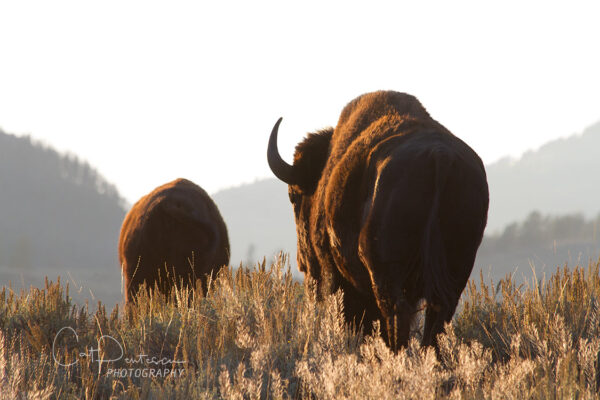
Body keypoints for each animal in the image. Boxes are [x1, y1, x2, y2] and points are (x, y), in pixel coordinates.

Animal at [268, 91, 488, 350]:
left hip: (386, 274)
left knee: (395, 313)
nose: (301, 262)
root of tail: (439, 156)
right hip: (455, 271)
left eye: (293, 196)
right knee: (437, 319)